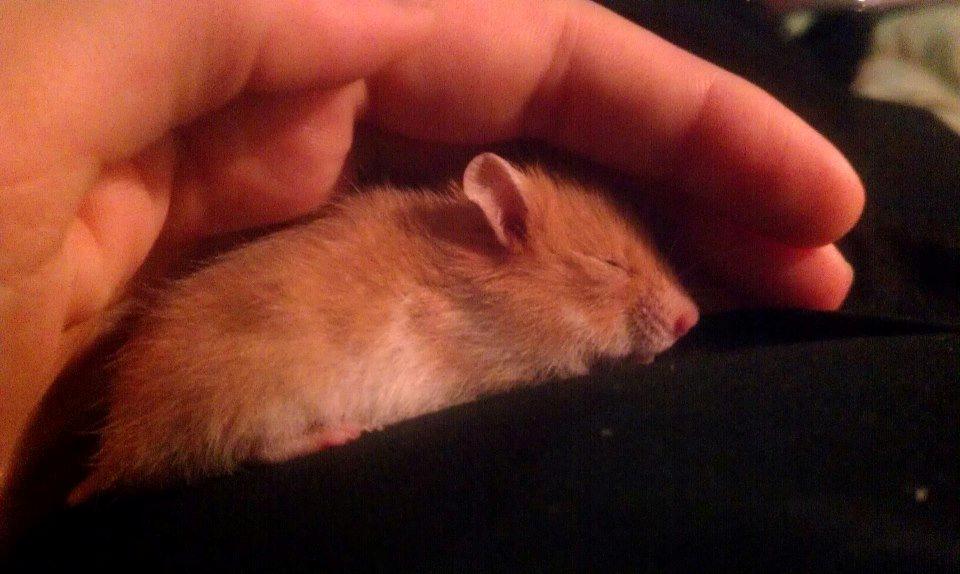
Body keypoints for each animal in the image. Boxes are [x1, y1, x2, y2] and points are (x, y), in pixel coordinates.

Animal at [69, 153, 699, 503]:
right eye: (608, 264)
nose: (692, 317)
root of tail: (118, 447)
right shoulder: (508, 360)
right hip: (260, 396)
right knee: (252, 449)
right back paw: (343, 432)